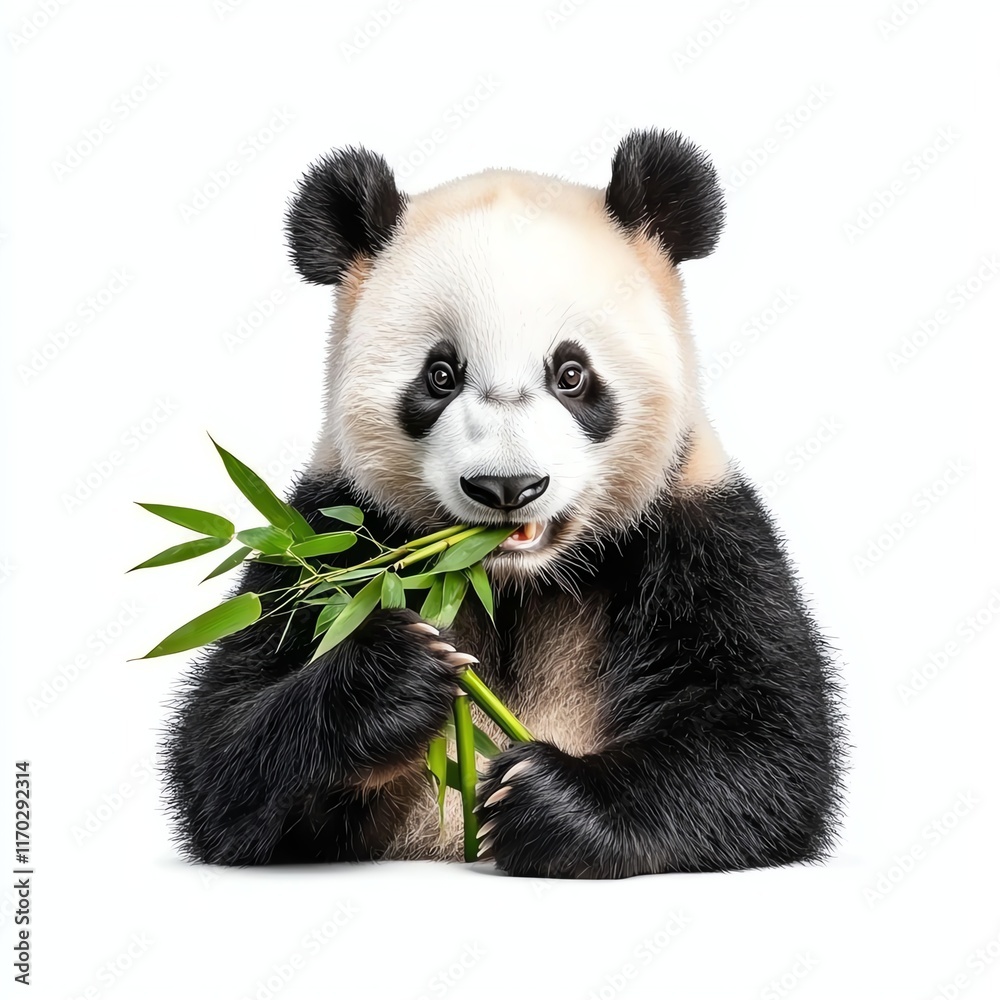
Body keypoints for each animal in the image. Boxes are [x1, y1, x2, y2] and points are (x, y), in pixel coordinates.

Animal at [161, 128, 846, 879]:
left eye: (571, 374)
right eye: (440, 374)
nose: (507, 488)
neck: (504, 581)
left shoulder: (695, 531)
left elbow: (766, 742)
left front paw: (541, 798)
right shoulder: (331, 537)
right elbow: (221, 746)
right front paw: (397, 674)